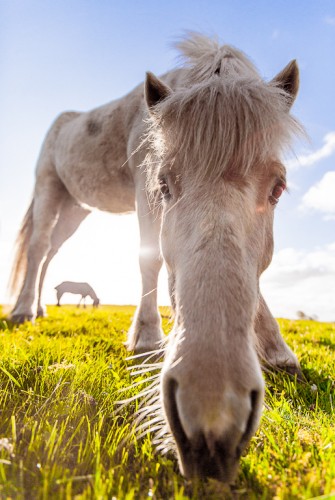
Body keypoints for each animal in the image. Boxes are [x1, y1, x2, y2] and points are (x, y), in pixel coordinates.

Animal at [9, 33, 304, 482]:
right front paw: (147, 337)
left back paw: (40, 308)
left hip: (76, 206)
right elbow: (150, 259)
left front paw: (277, 350)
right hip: (48, 187)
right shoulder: (142, 186)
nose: (212, 423)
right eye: (164, 184)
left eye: (278, 187)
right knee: (39, 246)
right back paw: (24, 311)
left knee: (49, 254)